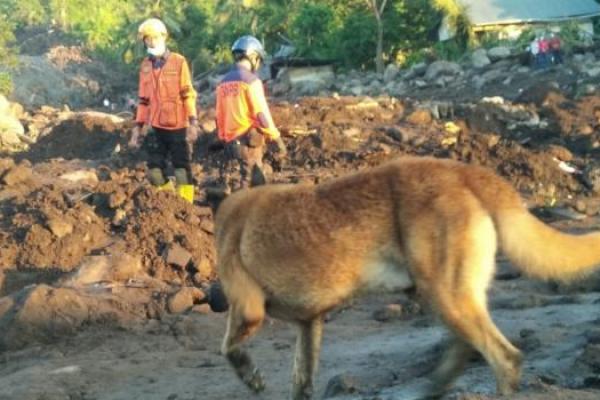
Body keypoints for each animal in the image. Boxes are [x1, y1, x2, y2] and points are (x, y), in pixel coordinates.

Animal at [211, 157, 600, 400]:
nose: (213, 299)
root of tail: (464, 171)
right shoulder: (309, 325)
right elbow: (301, 380)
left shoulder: (248, 311)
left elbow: (227, 347)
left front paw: (250, 375)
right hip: (445, 296)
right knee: (467, 346)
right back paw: (438, 384)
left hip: (444, 296)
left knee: (505, 358)